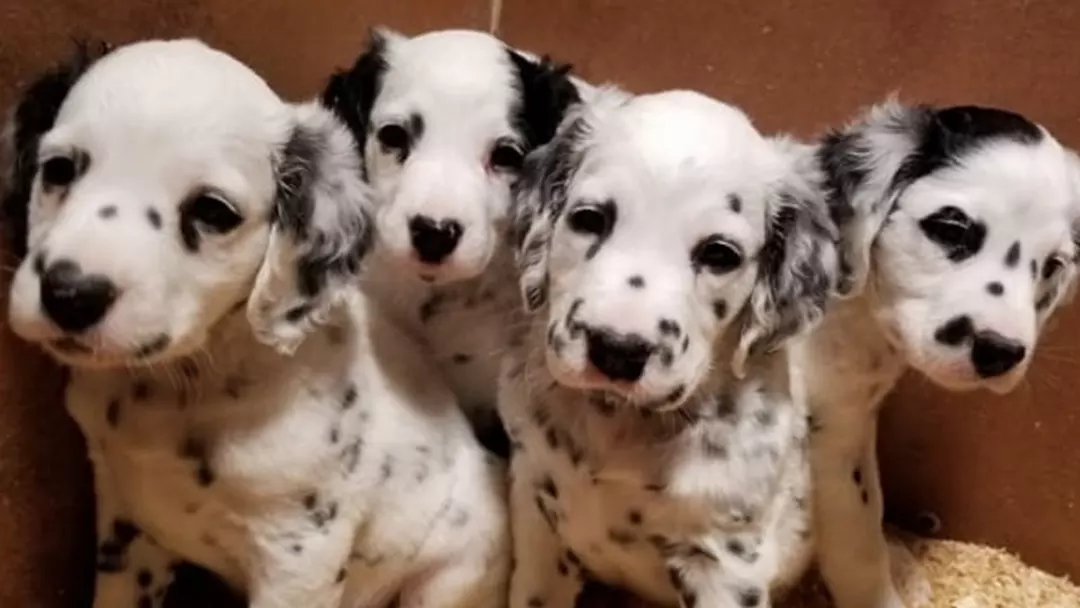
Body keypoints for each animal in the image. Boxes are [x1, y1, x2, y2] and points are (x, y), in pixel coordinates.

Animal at [2, 39, 507, 608]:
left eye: (212, 211)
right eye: (59, 169)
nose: (70, 295)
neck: (182, 389)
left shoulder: (297, 553)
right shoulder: (125, 523)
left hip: (450, 574)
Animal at [498, 86, 842, 608]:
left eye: (719, 254)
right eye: (589, 219)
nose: (617, 349)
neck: (618, 425)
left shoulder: (725, 562)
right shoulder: (538, 511)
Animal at [807, 99, 1075, 608]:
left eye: (1052, 265)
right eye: (951, 229)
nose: (1000, 351)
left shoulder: (852, 428)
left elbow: (871, 516)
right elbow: (856, 545)